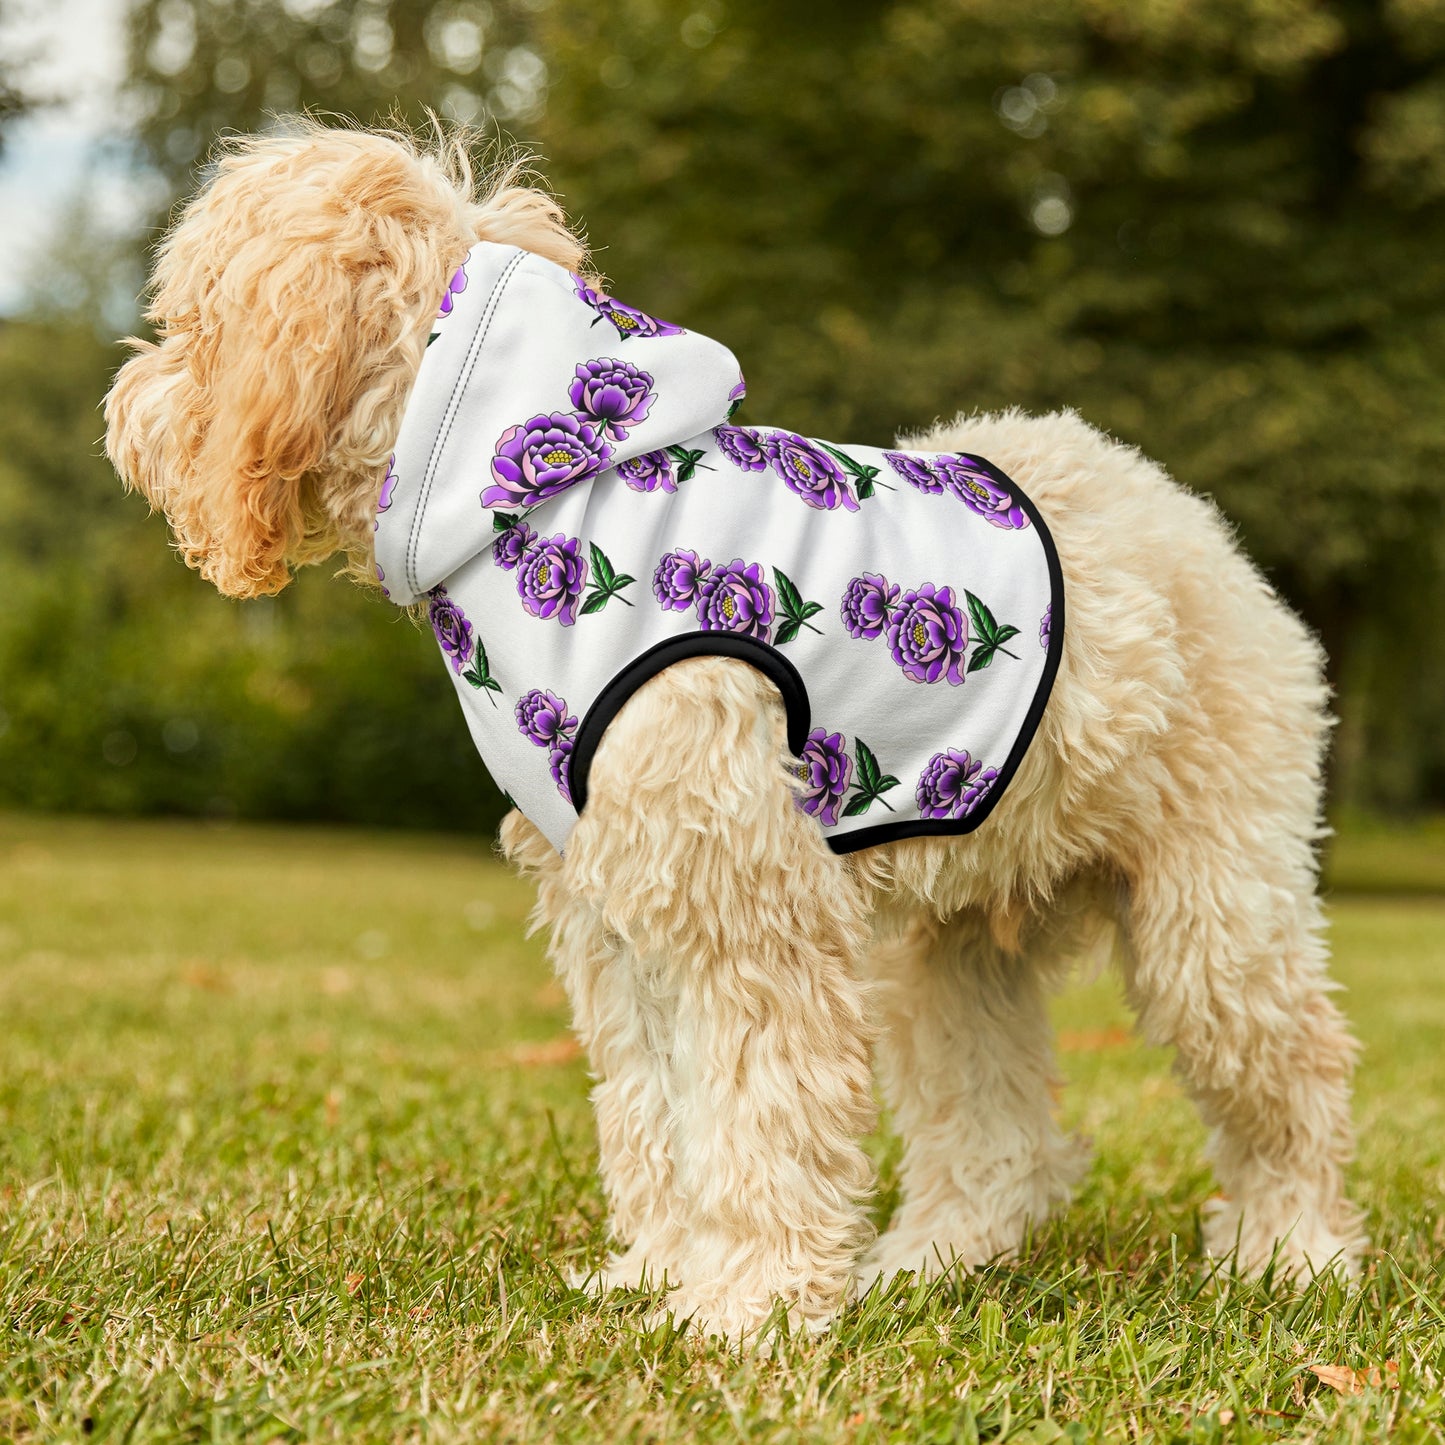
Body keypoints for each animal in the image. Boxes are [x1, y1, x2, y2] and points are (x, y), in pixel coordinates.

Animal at [104, 124, 1364, 1340]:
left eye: (190, 319)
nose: (123, 407)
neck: (536, 494)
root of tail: (1186, 518)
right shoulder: (617, 909)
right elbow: (656, 1110)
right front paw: (662, 1273)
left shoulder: (744, 902)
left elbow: (759, 1110)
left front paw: (747, 1305)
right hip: (949, 947)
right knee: (995, 1132)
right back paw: (929, 1260)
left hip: (1212, 912)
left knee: (1292, 1074)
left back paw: (1290, 1252)